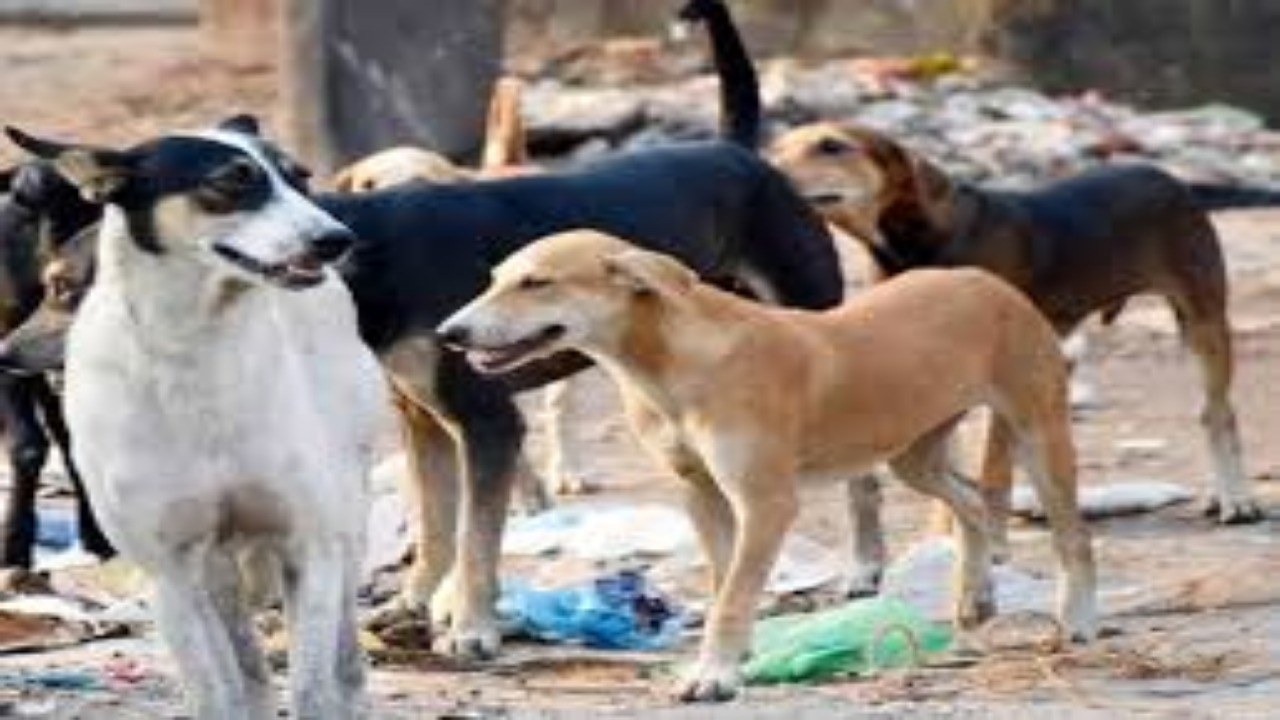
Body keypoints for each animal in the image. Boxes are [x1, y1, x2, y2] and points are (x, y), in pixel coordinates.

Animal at [6, 117, 384, 717]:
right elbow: (217, 692)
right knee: (249, 673)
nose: (337, 240)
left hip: (345, 518)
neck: (197, 347)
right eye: (230, 181)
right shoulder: (172, 573)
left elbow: (312, 687)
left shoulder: (309, 545)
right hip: (214, 568)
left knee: (342, 661)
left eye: (300, 177)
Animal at [442, 228, 1100, 702]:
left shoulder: (767, 503)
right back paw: (976, 593)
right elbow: (723, 580)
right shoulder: (701, 492)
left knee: (1074, 538)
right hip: (913, 454)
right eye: (496, 279)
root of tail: (986, 280)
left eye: (537, 282)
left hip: (1040, 434)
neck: (672, 365)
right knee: (970, 500)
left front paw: (714, 676)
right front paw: (736, 659)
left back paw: (1077, 620)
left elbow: (734, 595)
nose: (450, 333)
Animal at [768, 120, 1259, 520]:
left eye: (831, 145)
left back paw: (1236, 498)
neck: (915, 241)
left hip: (1202, 320)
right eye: (777, 148)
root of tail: (1168, 176)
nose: (765, 168)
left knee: (1218, 413)